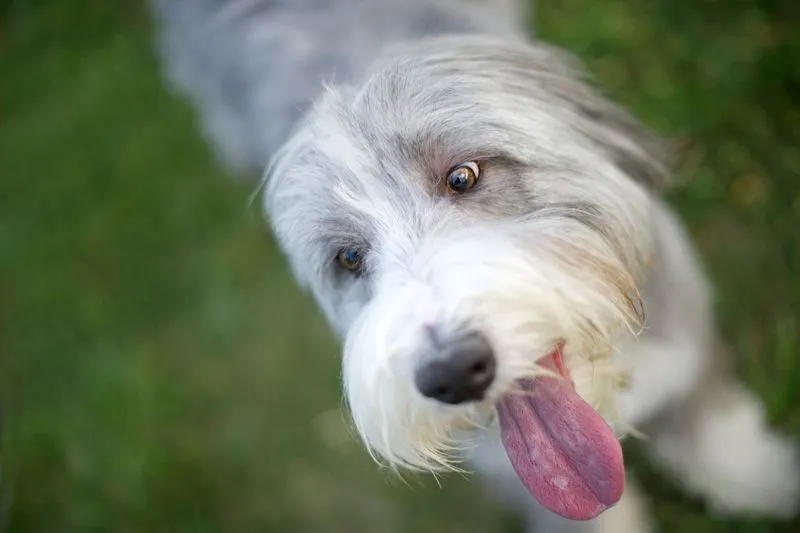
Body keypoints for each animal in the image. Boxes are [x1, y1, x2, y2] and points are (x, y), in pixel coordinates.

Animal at [150, 2, 800, 528]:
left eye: (463, 176)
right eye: (350, 257)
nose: (453, 372)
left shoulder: (683, 350)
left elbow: (722, 447)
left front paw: (777, 487)